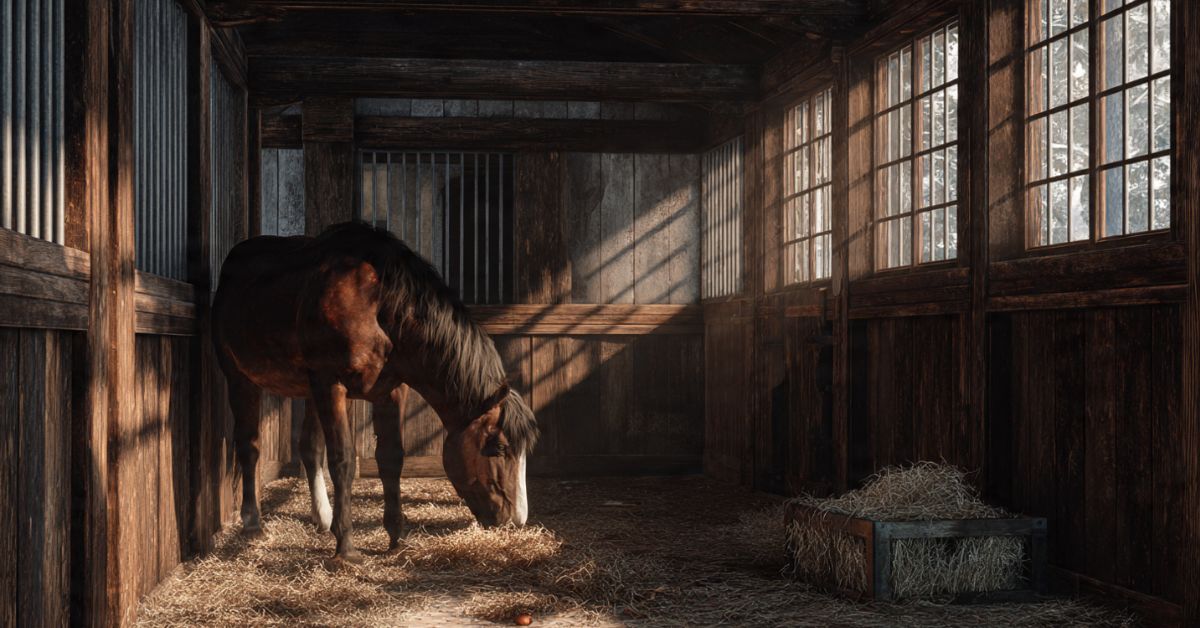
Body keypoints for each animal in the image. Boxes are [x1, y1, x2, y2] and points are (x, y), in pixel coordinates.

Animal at [211, 221, 538, 566]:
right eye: (499, 448)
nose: (515, 520)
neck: (377, 305)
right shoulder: (331, 384)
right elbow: (343, 460)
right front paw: (345, 548)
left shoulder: (390, 391)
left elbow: (391, 458)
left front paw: (397, 538)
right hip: (241, 379)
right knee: (250, 446)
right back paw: (254, 525)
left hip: (310, 392)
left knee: (309, 449)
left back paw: (322, 518)